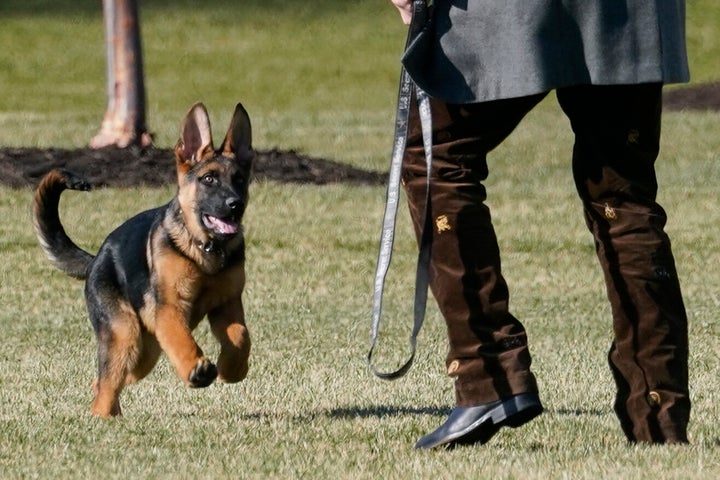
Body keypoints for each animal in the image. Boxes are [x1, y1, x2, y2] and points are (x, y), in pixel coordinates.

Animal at [33, 103, 255, 418]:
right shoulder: (169, 307)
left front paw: (232, 369)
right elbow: (181, 338)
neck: (205, 251)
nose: (234, 205)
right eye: (209, 179)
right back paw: (102, 417)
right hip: (125, 335)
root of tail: (96, 259)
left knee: (104, 380)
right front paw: (197, 368)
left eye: (239, 179)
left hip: (143, 353)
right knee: (106, 382)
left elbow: (240, 336)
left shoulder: (228, 304)